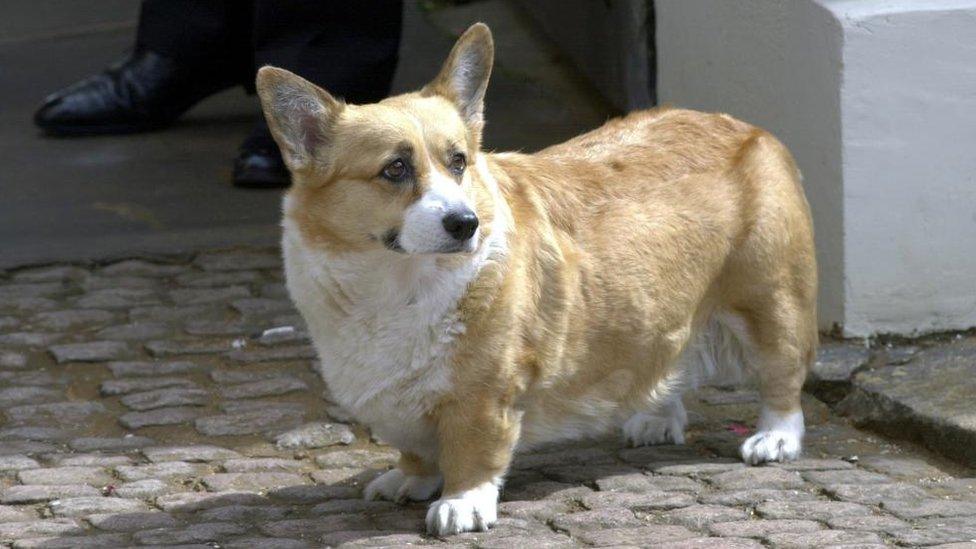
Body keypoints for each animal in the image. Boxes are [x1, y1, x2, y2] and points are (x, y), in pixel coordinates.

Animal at [258, 23, 816, 532]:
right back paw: (657, 417)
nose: (466, 224)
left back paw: (775, 437)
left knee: (783, 377)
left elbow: (472, 451)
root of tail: (749, 128)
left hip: (770, 303)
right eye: (395, 169)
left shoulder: (486, 394)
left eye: (459, 161)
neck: (396, 285)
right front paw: (411, 478)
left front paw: (462, 503)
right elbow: (415, 449)